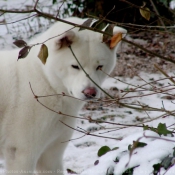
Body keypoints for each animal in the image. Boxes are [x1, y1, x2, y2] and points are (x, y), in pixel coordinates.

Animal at [0, 17, 126, 174]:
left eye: (99, 67)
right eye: (75, 66)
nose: (90, 93)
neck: (46, 81)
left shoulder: (52, 153)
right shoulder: (21, 154)